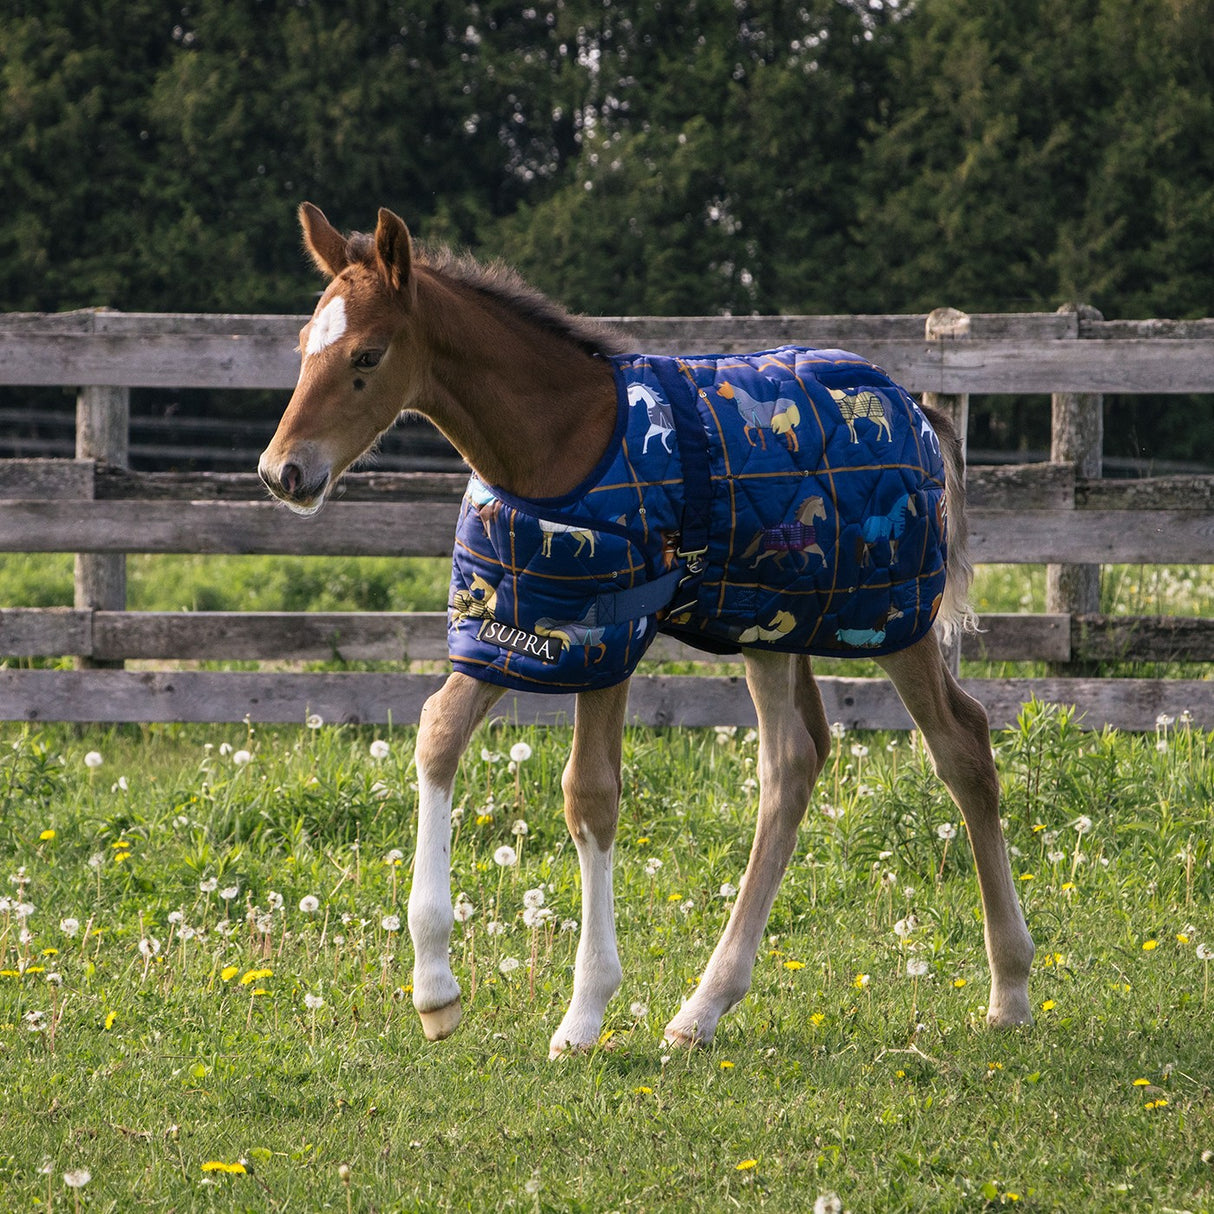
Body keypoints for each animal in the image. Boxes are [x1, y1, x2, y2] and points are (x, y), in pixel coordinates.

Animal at [259, 204, 1035, 1056]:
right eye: (304, 346)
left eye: (366, 354)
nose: (282, 472)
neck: (557, 443)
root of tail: (920, 410)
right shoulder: (515, 628)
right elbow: (436, 733)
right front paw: (435, 990)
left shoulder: (609, 634)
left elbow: (590, 793)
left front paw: (584, 1012)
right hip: (769, 621)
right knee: (792, 764)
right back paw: (704, 1007)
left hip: (891, 618)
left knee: (962, 745)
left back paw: (1009, 990)